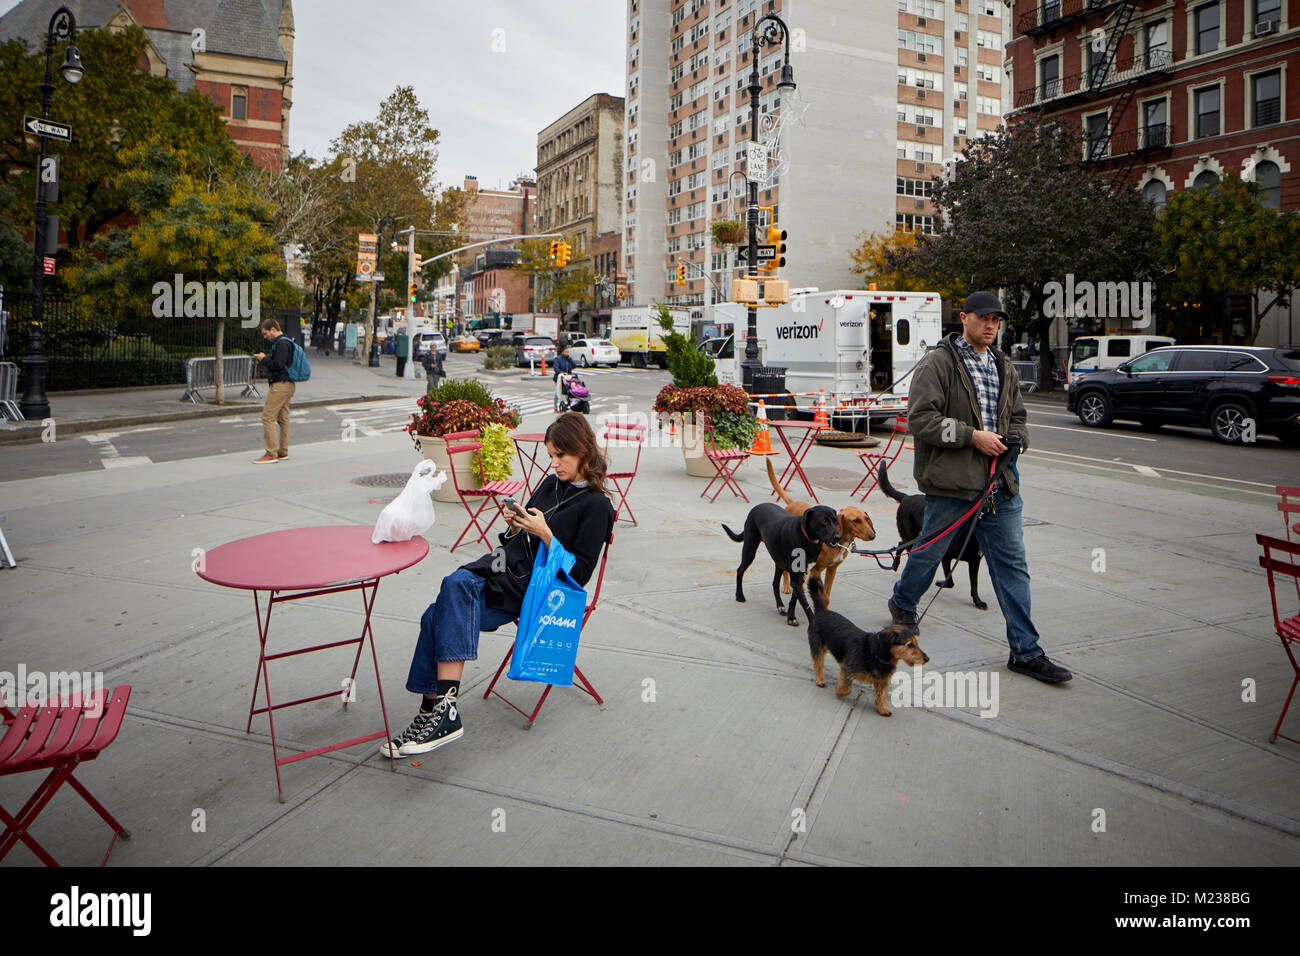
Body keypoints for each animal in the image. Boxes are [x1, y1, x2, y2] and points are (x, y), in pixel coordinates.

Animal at [764, 457, 878, 606]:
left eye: (866, 519)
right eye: (855, 520)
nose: (872, 535)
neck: (840, 542)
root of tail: (792, 503)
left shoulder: (832, 569)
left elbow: (827, 596)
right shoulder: (817, 569)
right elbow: (822, 595)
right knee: (785, 570)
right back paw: (787, 585)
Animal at [806, 574, 930, 717]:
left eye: (917, 643)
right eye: (910, 644)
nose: (927, 659)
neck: (875, 653)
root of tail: (822, 611)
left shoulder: (883, 680)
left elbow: (881, 694)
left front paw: (882, 708)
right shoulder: (848, 669)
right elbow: (846, 687)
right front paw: (839, 692)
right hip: (817, 645)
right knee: (818, 663)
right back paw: (820, 679)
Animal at [878, 463, 987, 613]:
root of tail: (906, 497)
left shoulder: (974, 561)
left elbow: (974, 584)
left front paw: (978, 601)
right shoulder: (945, 556)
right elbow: (950, 581)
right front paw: (941, 583)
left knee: (901, 544)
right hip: (911, 535)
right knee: (903, 546)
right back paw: (898, 566)